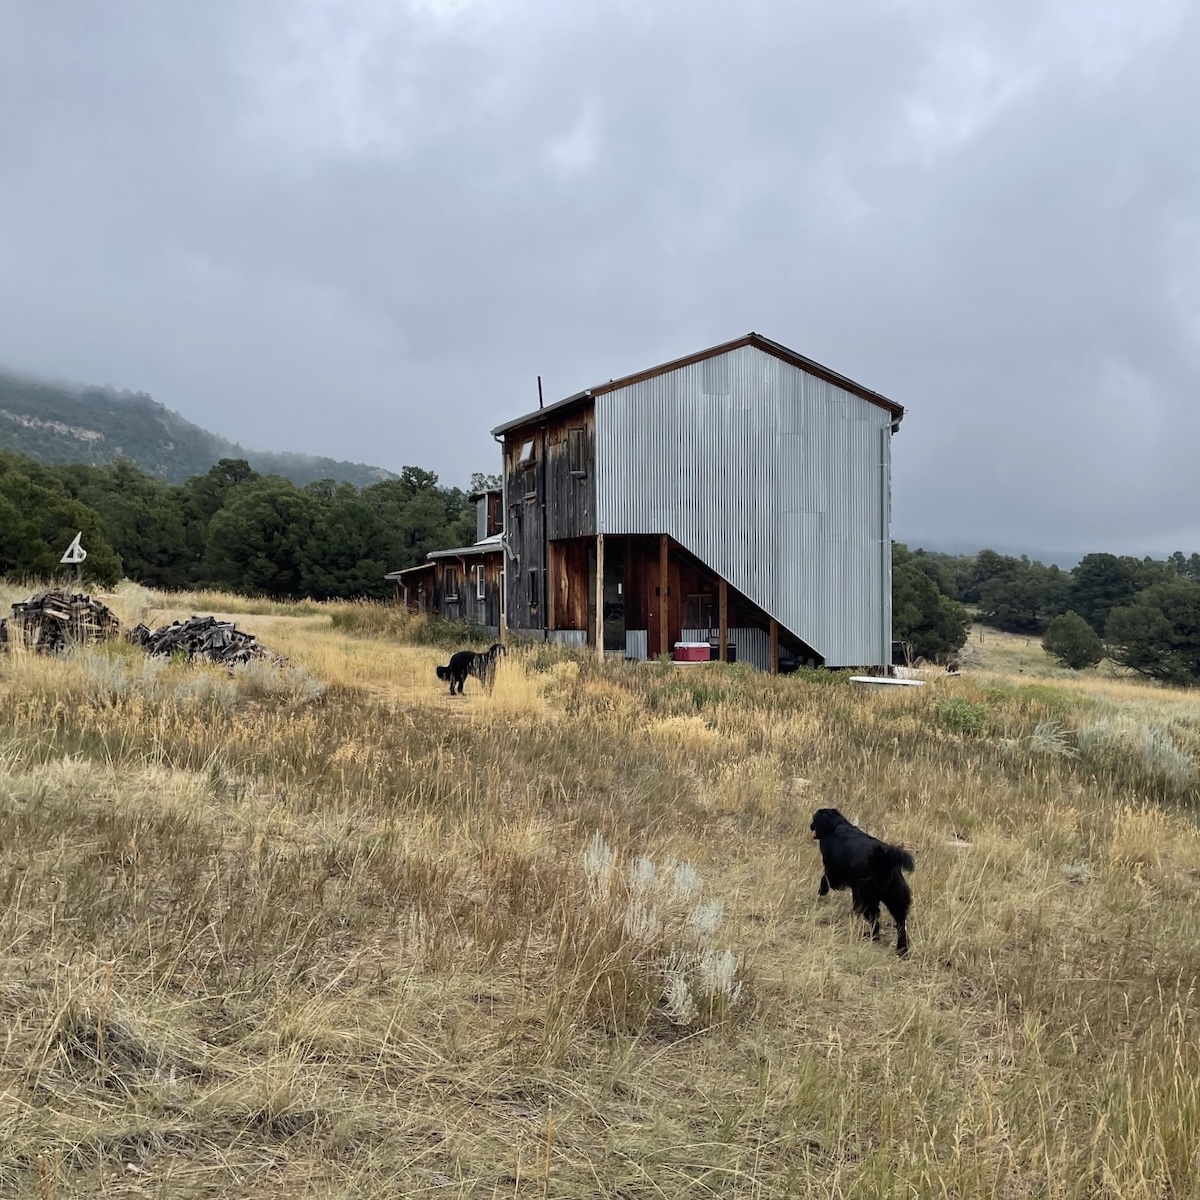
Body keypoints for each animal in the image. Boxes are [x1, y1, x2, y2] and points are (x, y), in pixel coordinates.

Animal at [809, 807, 915, 956]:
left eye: (814, 819)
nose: (810, 826)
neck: (835, 826)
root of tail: (883, 858)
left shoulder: (833, 871)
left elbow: (825, 879)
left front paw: (822, 891)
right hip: (896, 899)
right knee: (900, 924)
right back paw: (902, 950)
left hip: (868, 898)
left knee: (874, 920)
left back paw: (871, 936)